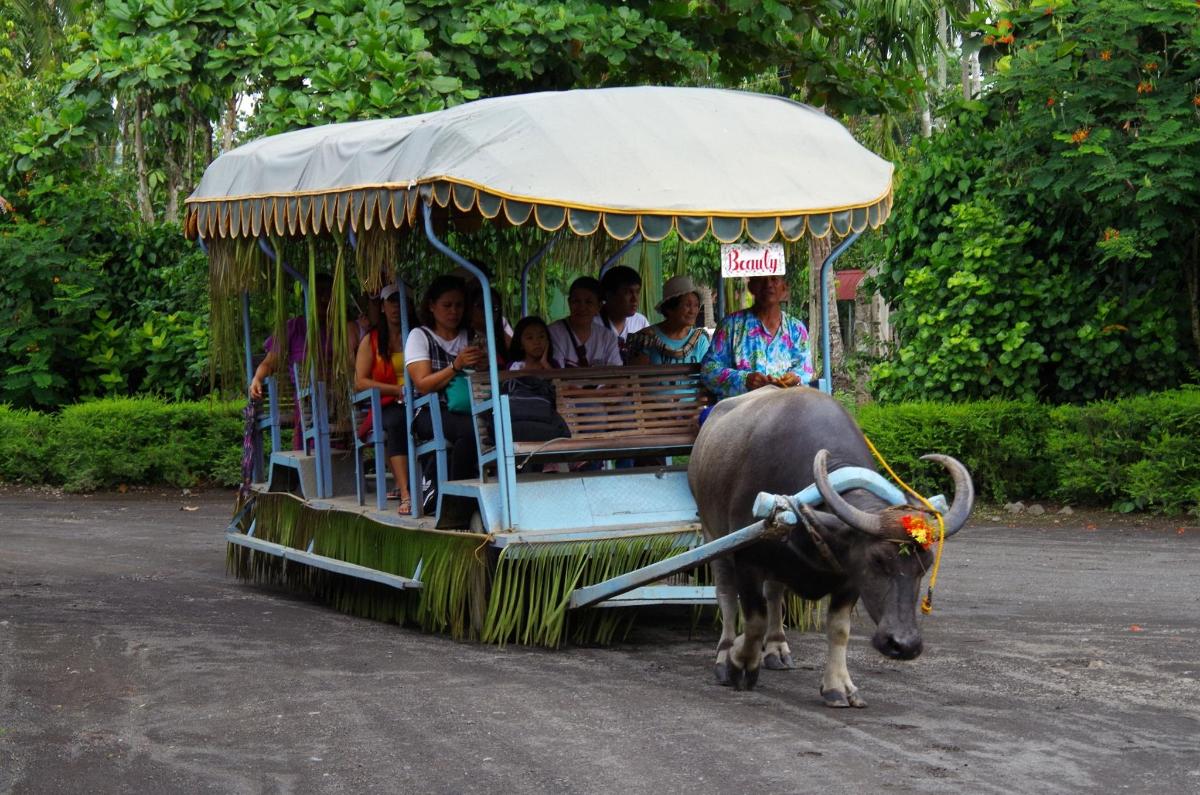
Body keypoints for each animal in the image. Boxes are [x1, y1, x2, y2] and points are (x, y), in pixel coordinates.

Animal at [686, 389, 974, 706]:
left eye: (926, 565)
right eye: (877, 560)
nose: (904, 644)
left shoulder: (849, 576)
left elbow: (838, 629)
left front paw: (838, 686)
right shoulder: (748, 559)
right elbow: (754, 620)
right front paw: (739, 662)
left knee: (774, 592)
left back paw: (777, 648)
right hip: (713, 535)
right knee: (725, 594)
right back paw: (724, 653)